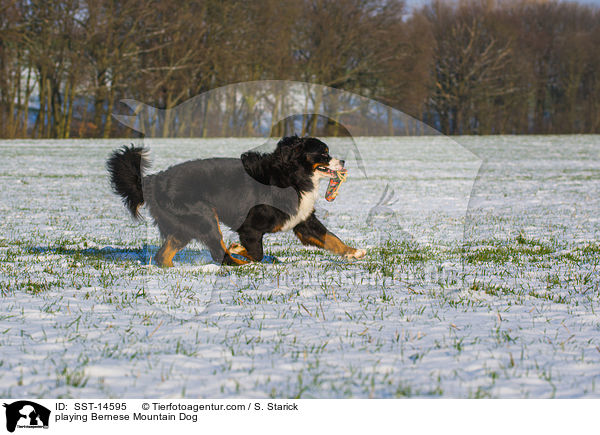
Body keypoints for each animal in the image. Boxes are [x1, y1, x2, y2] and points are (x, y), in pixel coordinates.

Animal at [106, 135, 366, 266]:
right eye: (324, 153)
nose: (343, 161)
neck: (292, 174)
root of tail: (154, 180)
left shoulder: (303, 221)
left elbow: (331, 238)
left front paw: (353, 252)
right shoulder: (250, 226)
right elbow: (256, 252)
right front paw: (240, 250)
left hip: (185, 225)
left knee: (164, 254)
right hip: (204, 215)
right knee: (218, 254)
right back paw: (238, 263)